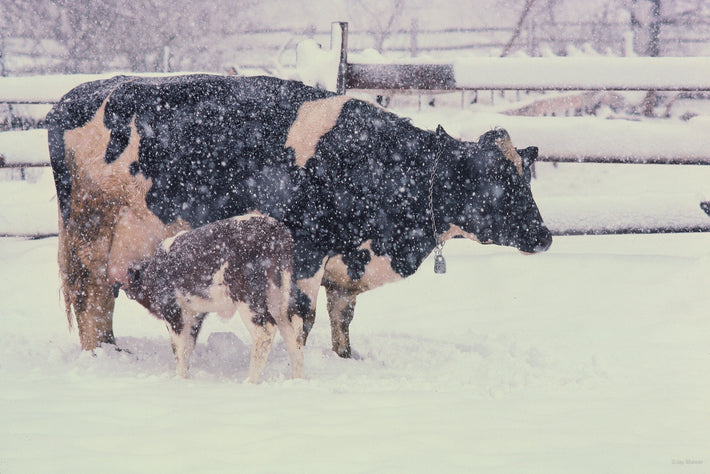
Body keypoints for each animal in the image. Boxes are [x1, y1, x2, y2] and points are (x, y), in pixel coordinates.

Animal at [47, 74, 552, 356]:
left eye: (524, 177)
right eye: (494, 182)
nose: (544, 236)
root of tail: (73, 97)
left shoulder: (346, 261)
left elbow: (343, 317)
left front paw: (347, 360)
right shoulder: (306, 249)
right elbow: (302, 317)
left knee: (106, 294)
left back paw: (113, 348)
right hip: (91, 228)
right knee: (91, 293)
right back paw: (101, 357)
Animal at [122, 214, 304, 382]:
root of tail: (275, 227)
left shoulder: (172, 310)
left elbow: (178, 348)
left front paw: (180, 379)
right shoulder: (196, 314)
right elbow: (188, 347)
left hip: (248, 297)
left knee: (265, 330)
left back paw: (249, 381)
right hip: (279, 294)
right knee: (294, 327)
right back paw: (297, 378)